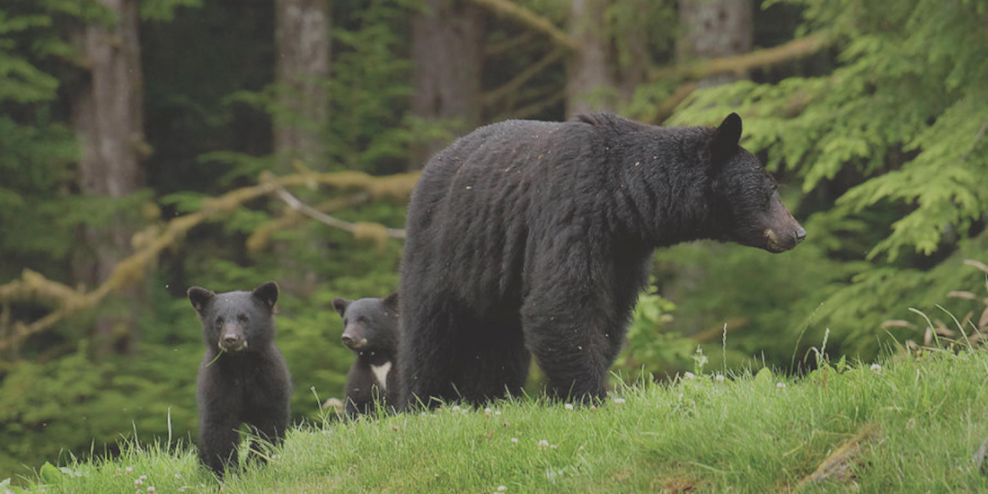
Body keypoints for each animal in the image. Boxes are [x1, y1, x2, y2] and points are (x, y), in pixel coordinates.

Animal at [187, 282, 292, 478]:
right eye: (219, 321)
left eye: (245, 318)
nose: (230, 339)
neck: (242, 366)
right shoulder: (218, 386)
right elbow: (220, 429)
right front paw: (229, 473)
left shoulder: (270, 383)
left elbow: (268, 427)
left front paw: (256, 465)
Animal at [398, 114, 808, 408]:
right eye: (771, 188)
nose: (798, 232)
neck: (624, 194)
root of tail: (431, 166)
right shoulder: (573, 211)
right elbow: (560, 302)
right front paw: (587, 396)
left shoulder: (623, 249)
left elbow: (610, 313)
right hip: (443, 247)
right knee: (431, 332)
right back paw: (422, 400)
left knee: (499, 343)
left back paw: (489, 397)